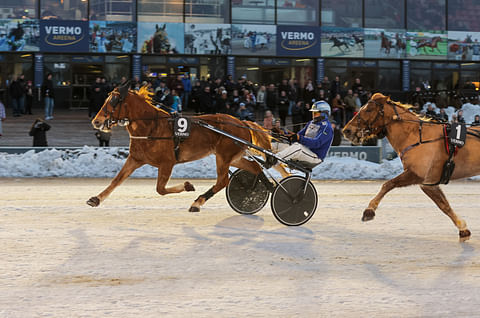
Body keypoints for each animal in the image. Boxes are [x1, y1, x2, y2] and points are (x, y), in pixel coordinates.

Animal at [88, 80, 286, 212]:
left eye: (113, 101)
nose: (96, 121)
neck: (152, 126)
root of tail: (241, 122)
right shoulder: (135, 158)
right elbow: (117, 180)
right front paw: (96, 199)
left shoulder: (167, 163)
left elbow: (160, 189)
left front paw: (188, 185)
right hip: (231, 157)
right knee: (254, 167)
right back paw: (270, 189)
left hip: (224, 157)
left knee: (223, 181)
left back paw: (197, 202)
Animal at [342, 92, 476, 241]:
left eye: (369, 109)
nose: (347, 130)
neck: (417, 137)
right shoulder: (428, 183)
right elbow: (444, 205)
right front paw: (462, 228)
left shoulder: (418, 175)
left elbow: (388, 184)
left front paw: (369, 210)